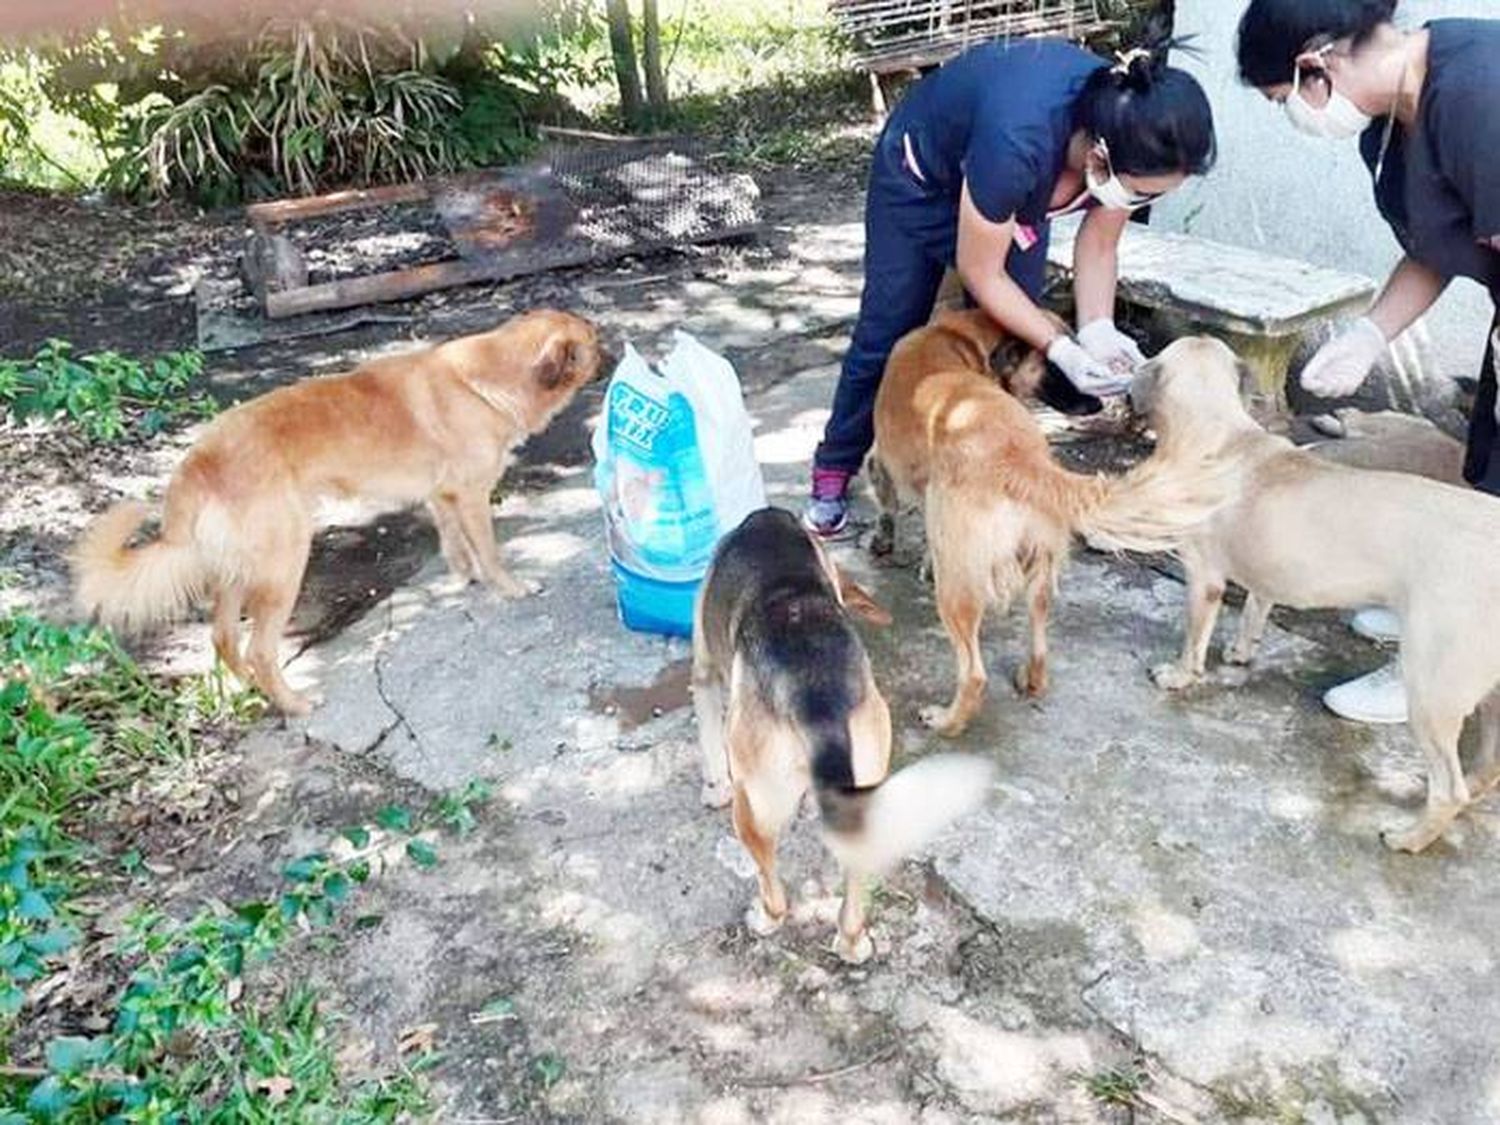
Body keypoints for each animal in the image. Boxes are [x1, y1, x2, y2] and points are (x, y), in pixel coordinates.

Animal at [70, 309, 597, 714]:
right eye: (595, 343)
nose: (613, 344)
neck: (488, 377)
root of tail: (198, 462)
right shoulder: (470, 495)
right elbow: (489, 550)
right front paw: (509, 587)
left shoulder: (442, 495)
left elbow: (454, 543)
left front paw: (463, 577)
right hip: (284, 564)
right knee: (261, 649)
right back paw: (295, 704)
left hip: (239, 571)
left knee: (224, 639)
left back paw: (255, 693)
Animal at [693, 510, 996, 960]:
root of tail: (816, 692)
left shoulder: (704, 675)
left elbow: (711, 747)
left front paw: (715, 789)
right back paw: (853, 943)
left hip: (755, 810)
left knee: (773, 886)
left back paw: (764, 919)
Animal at [870, 310, 1230, 741]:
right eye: (1052, 368)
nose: (1098, 402)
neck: (958, 334)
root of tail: (1022, 459)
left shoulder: (884, 460)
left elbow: (885, 500)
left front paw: (884, 542)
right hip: (1039, 566)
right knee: (1040, 641)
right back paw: (1031, 680)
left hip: (958, 584)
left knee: (974, 674)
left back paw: (947, 720)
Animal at [1134, 334, 1500, 852]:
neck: (1222, 435)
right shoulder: (1267, 571)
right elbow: (1256, 607)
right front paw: (1242, 650)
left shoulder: (1203, 576)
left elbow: (1194, 639)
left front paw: (1180, 675)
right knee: (1488, 768)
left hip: (1433, 688)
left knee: (1449, 788)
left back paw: (1409, 837)